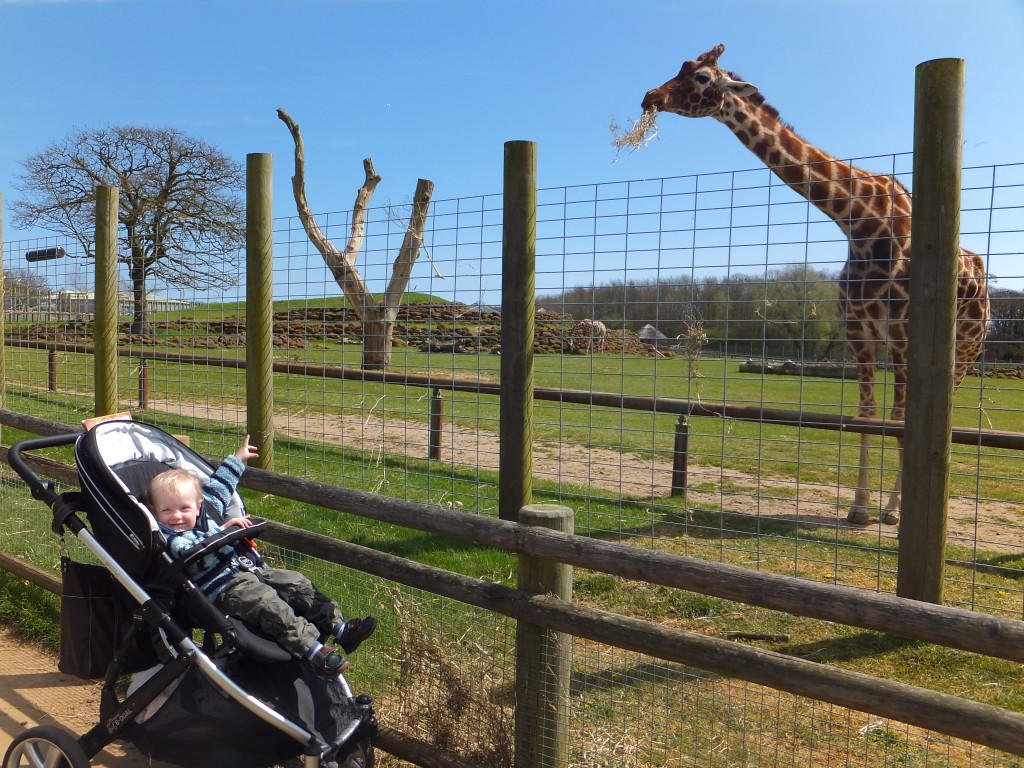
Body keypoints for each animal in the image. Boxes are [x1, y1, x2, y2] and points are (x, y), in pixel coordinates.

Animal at [643, 45, 987, 528]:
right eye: (682, 67)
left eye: (703, 77)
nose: (649, 97)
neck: (858, 221)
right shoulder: (858, 332)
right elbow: (866, 415)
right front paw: (859, 508)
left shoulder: (902, 335)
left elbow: (900, 423)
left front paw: (890, 514)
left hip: (966, 351)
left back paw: (903, 507)